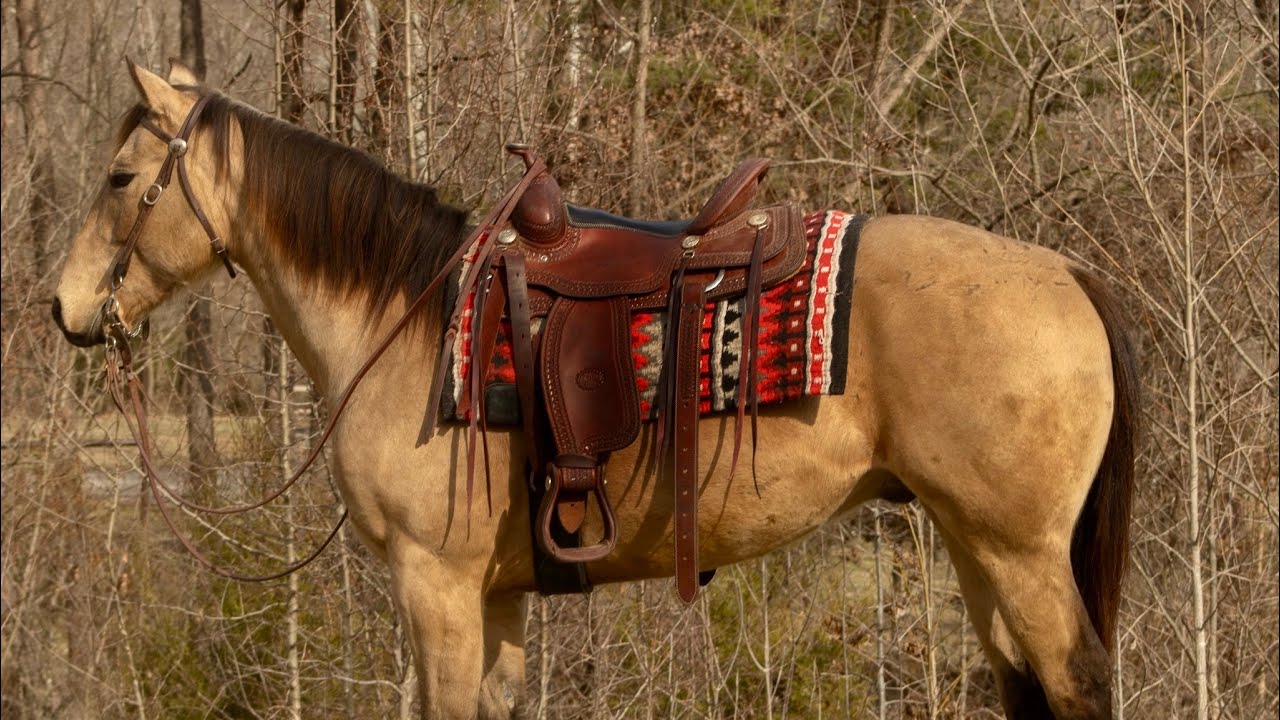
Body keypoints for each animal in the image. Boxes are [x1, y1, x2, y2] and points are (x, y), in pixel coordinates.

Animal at [52, 61, 1138, 719]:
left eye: (118, 178)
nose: (65, 307)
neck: (405, 323)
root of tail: (1066, 273)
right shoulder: (492, 597)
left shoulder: (435, 585)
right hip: (977, 545)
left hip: (1017, 548)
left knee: (1077, 680)